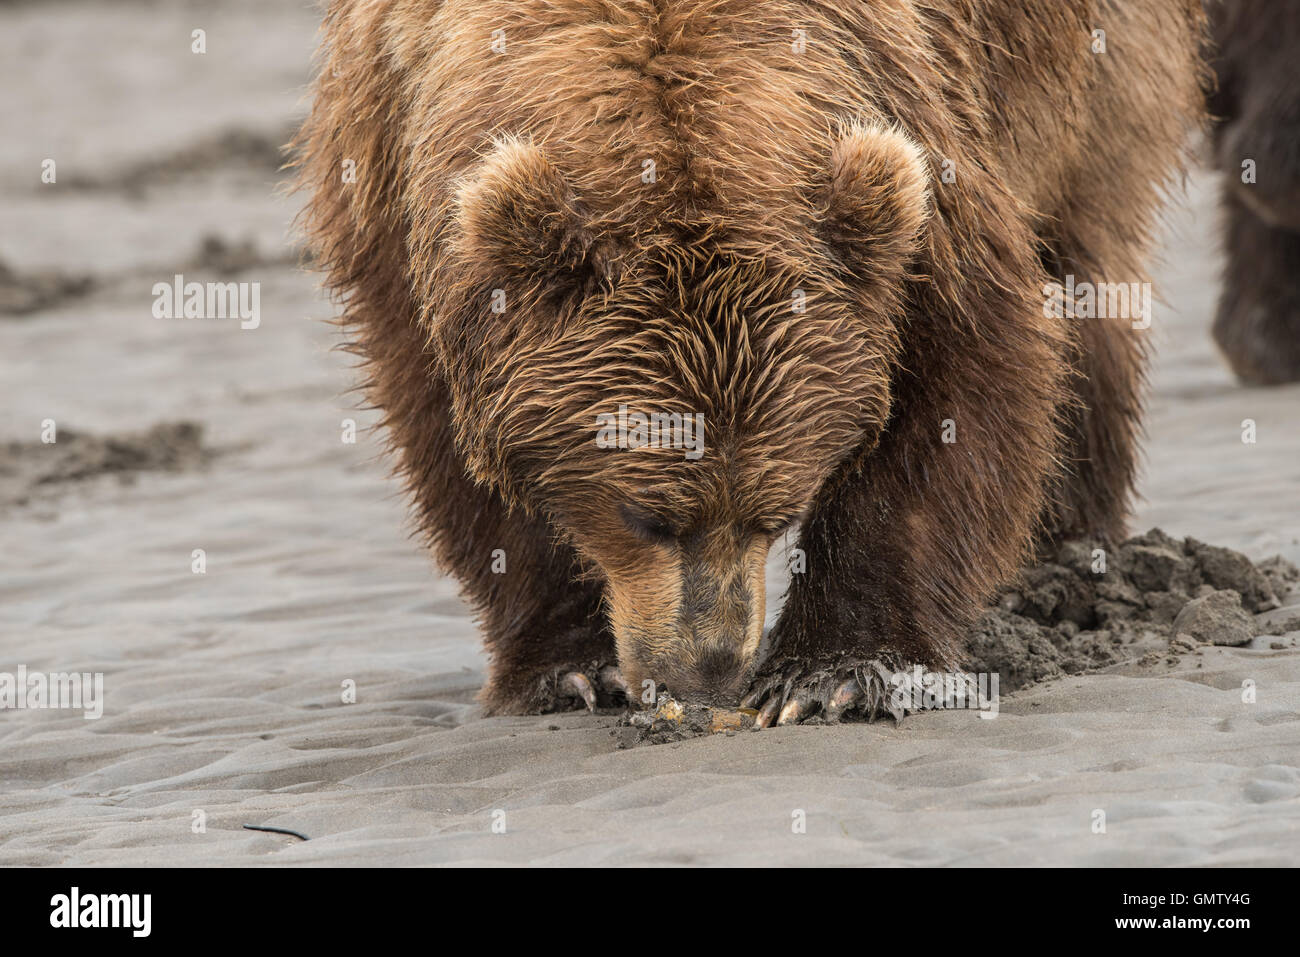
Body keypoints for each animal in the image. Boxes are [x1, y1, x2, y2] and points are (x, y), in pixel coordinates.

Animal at [294, 0, 1207, 725]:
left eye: (777, 511)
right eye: (645, 515)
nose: (709, 669)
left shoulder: (919, 170)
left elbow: (967, 375)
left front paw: (835, 672)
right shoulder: (394, 177)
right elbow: (447, 433)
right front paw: (567, 670)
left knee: (1088, 279)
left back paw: (1069, 556)